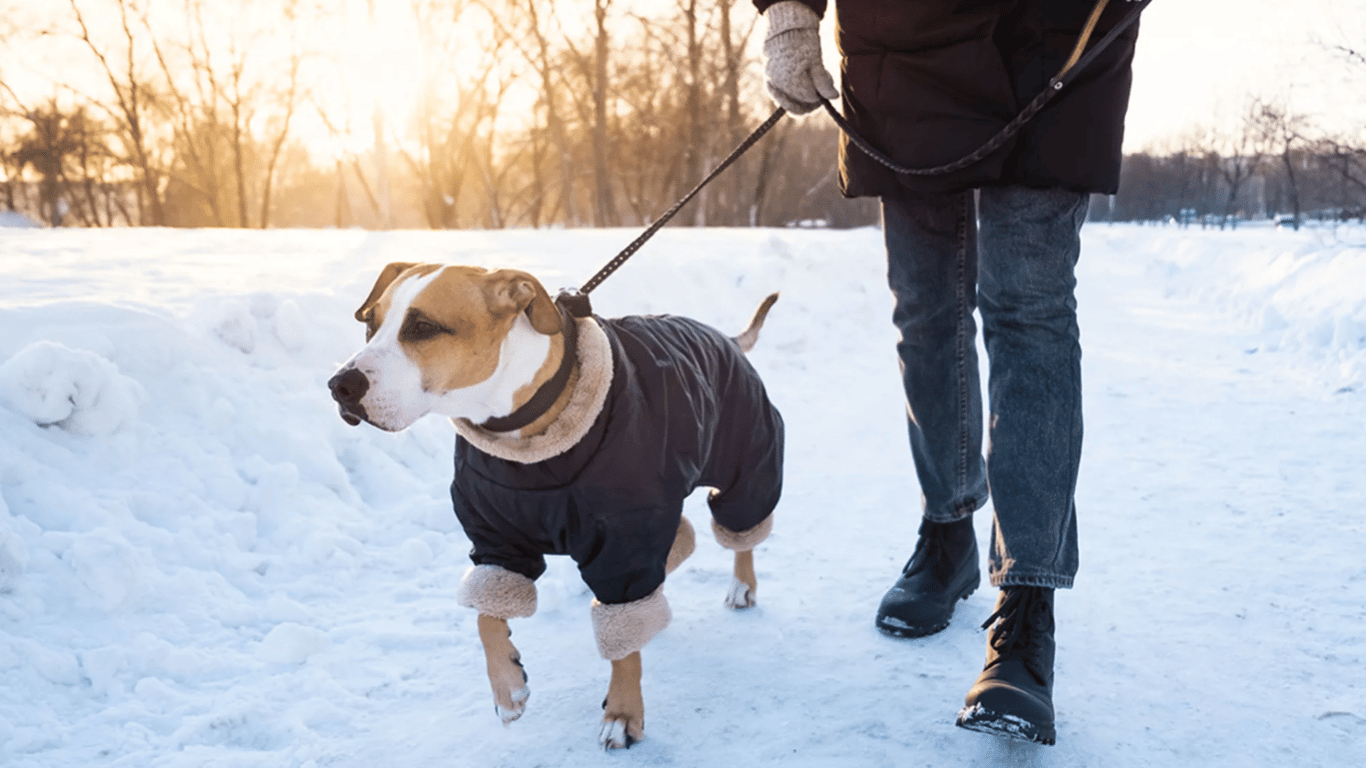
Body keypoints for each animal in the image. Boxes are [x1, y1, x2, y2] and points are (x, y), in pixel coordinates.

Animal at [325, 265, 786, 748]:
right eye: (370, 324)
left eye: (423, 327)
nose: (340, 385)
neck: (520, 432)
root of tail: (724, 337)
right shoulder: (496, 539)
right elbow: (487, 615)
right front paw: (507, 687)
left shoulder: (624, 538)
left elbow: (624, 643)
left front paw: (623, 714)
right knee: (683, 536)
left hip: (748, 457)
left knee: (742, 526)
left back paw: (742, 585)